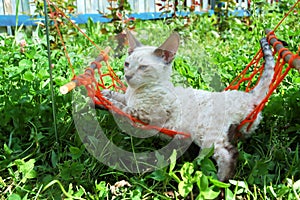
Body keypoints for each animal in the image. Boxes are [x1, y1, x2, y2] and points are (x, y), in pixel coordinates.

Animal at [102, 30, 276, 181]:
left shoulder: (146, 116)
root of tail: (248, 95)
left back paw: (218, 180)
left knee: (229, 154)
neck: (135, 91)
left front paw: (107, 101)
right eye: (127, 64)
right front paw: (104, 93)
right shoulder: (128, 99)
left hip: (207, 136)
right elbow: (120, 97)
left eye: (143, 67)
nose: (127, 76)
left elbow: (122, 107)